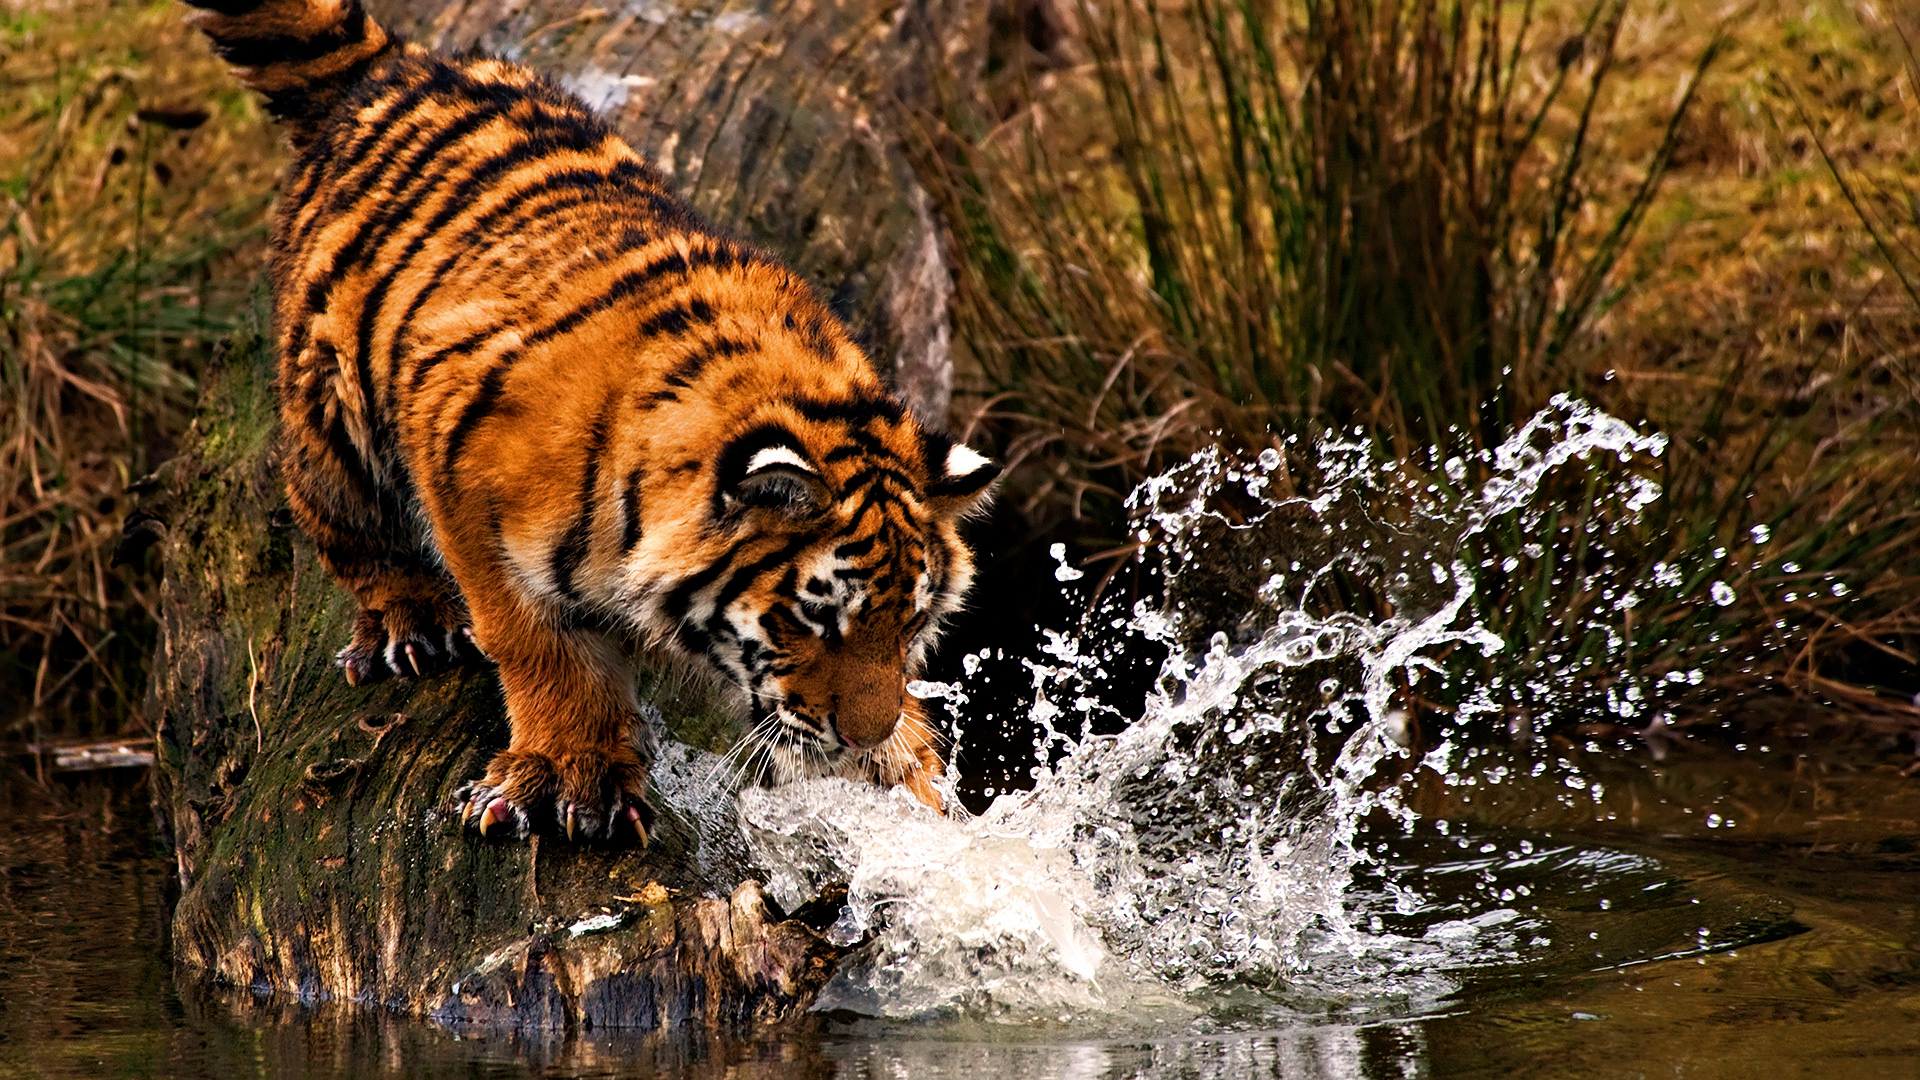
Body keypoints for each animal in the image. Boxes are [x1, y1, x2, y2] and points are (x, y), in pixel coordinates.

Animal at [185, 0, 998, 841]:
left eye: (910, 624)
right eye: (817, 617)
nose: (862, 736)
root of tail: (400, 62)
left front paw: (914, 776)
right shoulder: (466, 481)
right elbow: (540, 646)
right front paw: (570, 774)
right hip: (333, 412)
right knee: (338, 515)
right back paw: (410, 622)